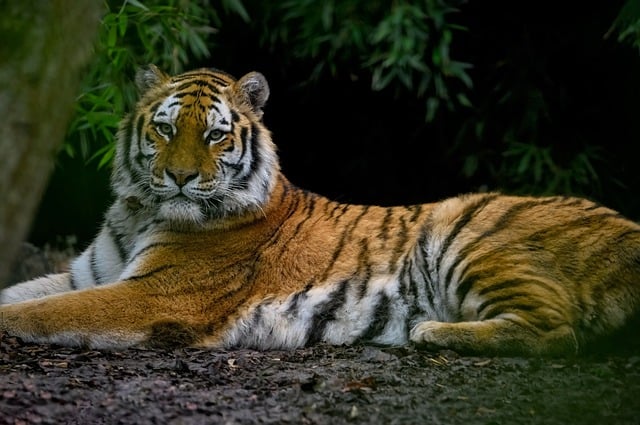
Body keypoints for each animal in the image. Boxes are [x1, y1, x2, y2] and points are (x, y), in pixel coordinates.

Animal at [1, 64, 640, 356]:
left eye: (214, 135)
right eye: (163, 129)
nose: (180, 178)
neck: (138, 212)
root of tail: (626, 226)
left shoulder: (154, 295)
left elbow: (45, 311)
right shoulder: (89, 273)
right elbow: (25, 292)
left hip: (463, 233)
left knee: (558, 332)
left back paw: (432, 331)